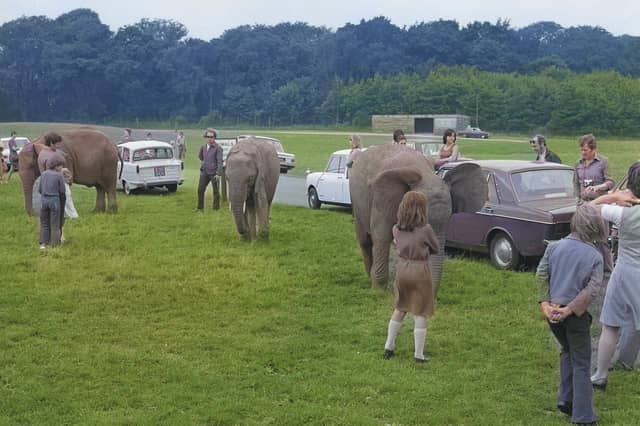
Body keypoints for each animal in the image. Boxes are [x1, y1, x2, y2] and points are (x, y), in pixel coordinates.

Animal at [349, 143, 487, 292]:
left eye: (450, 218)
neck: (425, 174)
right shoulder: (382, 198)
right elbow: (382, 235)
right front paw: (379, 291)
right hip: (356, 200)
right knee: (365, 240)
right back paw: (370, 277)